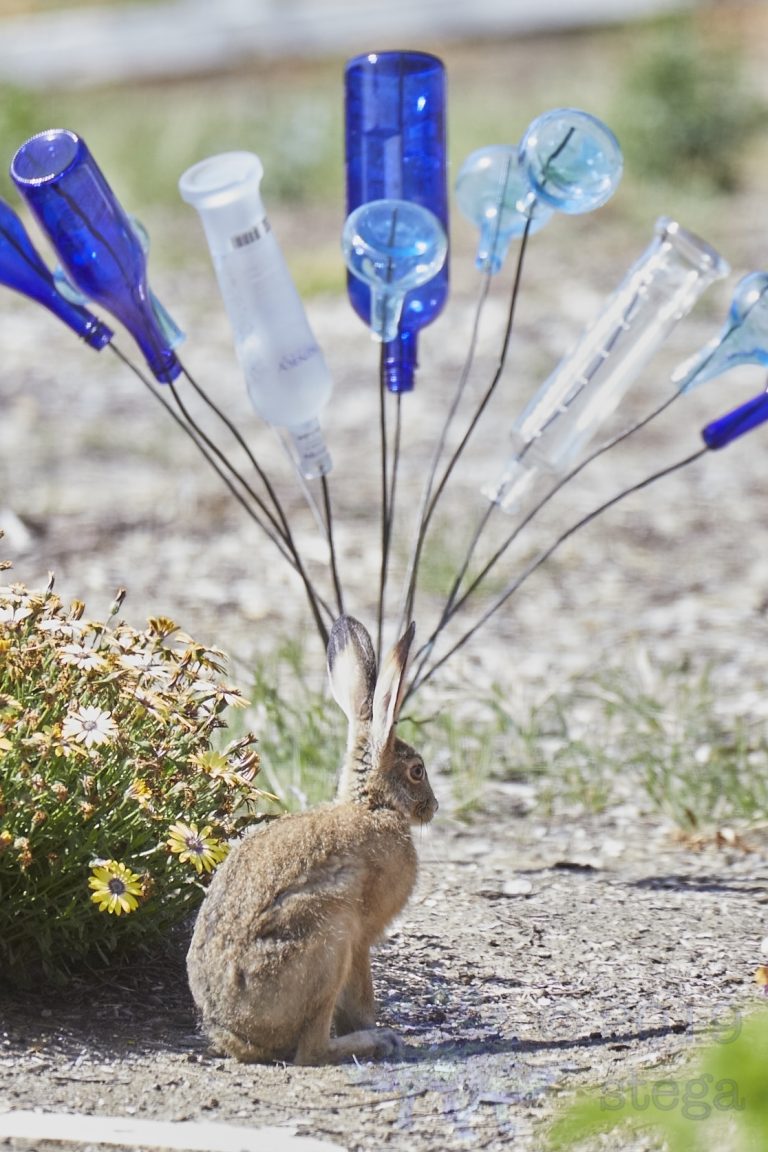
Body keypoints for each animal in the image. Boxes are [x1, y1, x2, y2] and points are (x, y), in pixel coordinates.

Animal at [186, 614, 438, 1065]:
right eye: (417, 771)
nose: (434, 807)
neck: (372, 806)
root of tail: (234, 1033)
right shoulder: (360, 938)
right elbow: (360, 995)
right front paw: (374, 1028)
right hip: (327, 936)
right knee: (311, 1051)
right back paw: (376, 1042)